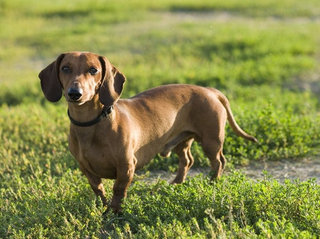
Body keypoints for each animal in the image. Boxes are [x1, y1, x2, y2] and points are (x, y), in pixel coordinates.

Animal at [38, 51, 258, 212]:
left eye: (93, 70)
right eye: (65, 68)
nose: (75, 94)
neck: (91, 124)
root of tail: (210, 91)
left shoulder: (127, 166)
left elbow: (118, 190)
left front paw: (114, 212)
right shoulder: (86, 169)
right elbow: (98, 189)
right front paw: (103, 207)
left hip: (211, 141)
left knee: (219, 161)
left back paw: (212, 182)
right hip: (181, 141)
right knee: (187, 160)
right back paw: (176, 184)